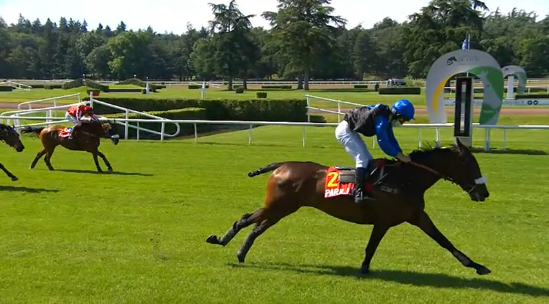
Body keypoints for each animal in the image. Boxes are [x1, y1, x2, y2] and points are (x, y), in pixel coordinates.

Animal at [208, 140, 490, 276]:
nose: (484, 193)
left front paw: (477, 266)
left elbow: (444, 241)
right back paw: (220, 240)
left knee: (256, 227)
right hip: (278, 205)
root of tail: (282, 165)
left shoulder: (416, 216)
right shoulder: (384, 220)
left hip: (282, 209)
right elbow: (372, 246)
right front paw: (364, 268)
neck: (404, 179)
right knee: (245, 219)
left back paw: (240, 252)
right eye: (470, 164)